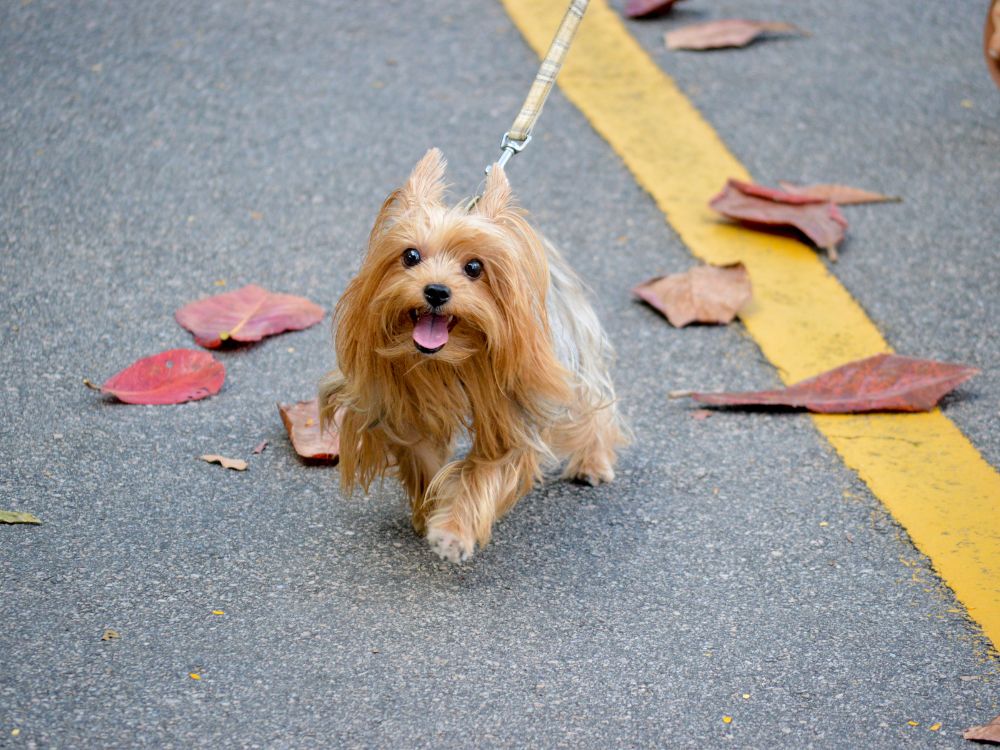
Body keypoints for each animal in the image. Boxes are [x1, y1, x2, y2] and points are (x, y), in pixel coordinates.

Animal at [320, 150, 624, 560]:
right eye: (410, 255)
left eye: (475, 267)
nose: (436, 290)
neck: (449, 358)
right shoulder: (402, 404)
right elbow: (423, 456)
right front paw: (430, 509)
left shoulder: (512, 412)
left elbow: (481, 473)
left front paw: (452, 532)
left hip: (570, 344)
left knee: (589, 402)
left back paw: (593, 461)